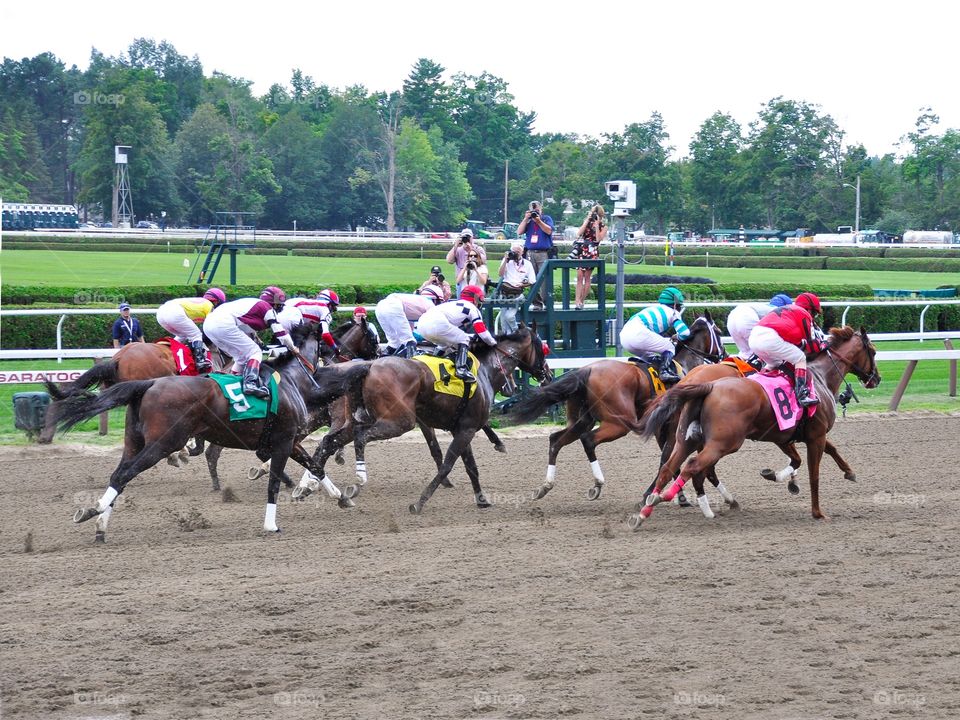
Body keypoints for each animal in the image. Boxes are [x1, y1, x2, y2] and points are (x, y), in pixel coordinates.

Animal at [53, 324, 372, 544]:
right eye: (330, 339)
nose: (342, 355)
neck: (291, 381)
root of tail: (149, 384)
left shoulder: (291, 441)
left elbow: (316, 466)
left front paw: (342, 498)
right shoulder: (282, 442)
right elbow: (273, 483)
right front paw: (271, 524)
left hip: (134, 442)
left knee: (119, 475)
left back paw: (100, 526)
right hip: (163, 442)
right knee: (124, 475)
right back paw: (92, 510)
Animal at [506, 312, 724, 504]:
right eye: (719, 332)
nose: (723, 355)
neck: (685, 367)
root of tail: (587, 370)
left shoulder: (661, 426)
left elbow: (668, 459)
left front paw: (675, 497)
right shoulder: (673, 424)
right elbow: (666, 458)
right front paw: (653, 495)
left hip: (583, 419)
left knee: (555, 440)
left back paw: (545, 486)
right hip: (619, 423)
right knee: (588, 440)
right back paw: (597, 484)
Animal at [632, 328, 880, 528]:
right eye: (874, 351)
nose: (876, 378)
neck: (819, 377)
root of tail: (707, 385)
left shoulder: (786, 436)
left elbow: (814, 455)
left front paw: (847, 472)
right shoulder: (815, 436)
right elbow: (814, 473)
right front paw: (817, 512)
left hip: (688, 439)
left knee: (670, 467)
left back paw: (649, 508)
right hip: (723, 443)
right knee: (694, 467)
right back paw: (668, 500)